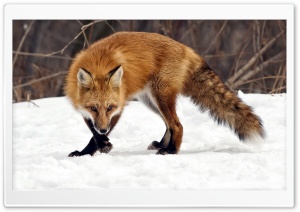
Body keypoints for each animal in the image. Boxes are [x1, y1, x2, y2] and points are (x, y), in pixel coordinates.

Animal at [63, 31, 264, 156]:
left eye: (109, 107)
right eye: (94, 108)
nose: (104, 129)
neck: (98, 64)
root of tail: (186, 48)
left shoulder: (119, 106)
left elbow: (96, 136)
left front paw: (98, 147)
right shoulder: (85, 111)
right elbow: (94, 132)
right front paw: (87, 151)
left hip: (160, 96)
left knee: (177, 125)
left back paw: (171, 151)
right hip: (150, 100)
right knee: (169, 125)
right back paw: (162, 145)